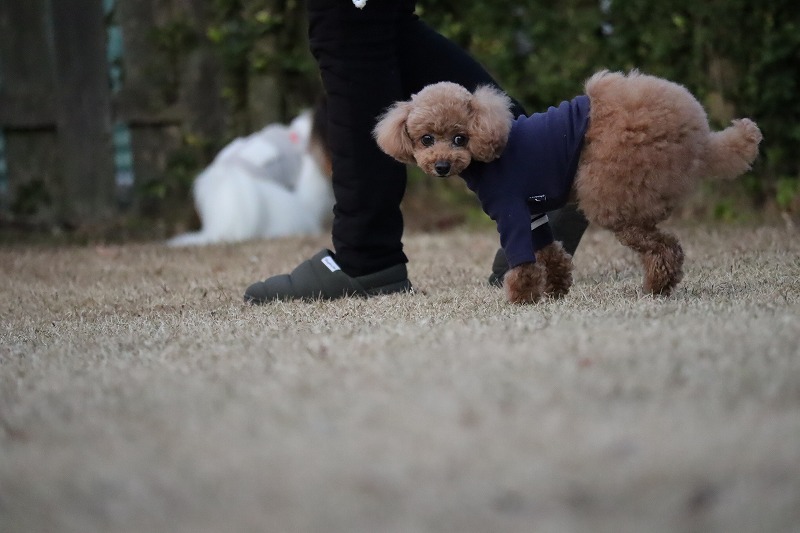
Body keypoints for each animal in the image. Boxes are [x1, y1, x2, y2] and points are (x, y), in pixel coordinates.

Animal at [373, 70, 763, 303]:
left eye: (459, 138)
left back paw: (656, 287)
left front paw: (521, 297)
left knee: (663, 246)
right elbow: (548, 249)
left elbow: (523, 256)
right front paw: (557, 287)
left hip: (613, 191)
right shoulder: (532, 213)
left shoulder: (511, 210)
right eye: (426, 139)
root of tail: (701, 134)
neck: (486, 154)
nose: (441, 165)